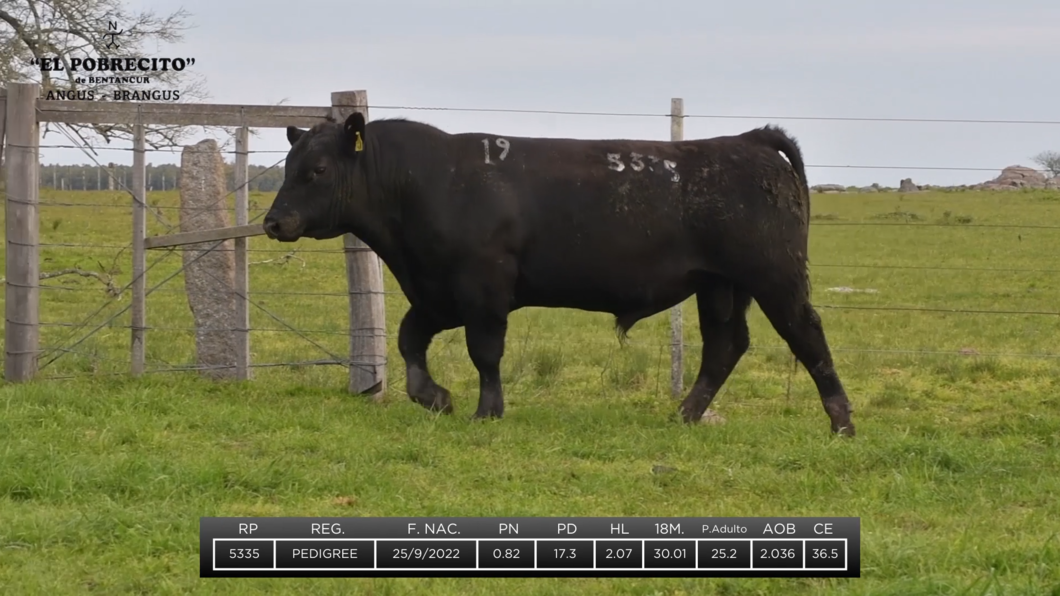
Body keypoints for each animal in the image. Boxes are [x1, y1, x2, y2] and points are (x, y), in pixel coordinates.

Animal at [262, 113, 852, 434]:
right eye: (289, 167)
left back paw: (841, 421)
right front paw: (436, 398)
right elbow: (409, 340)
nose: (273, 221)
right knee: (725, 346)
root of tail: (747, 141)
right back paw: (685, 415)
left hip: (774, 275)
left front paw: (486, 411)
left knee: (808, 334)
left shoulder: (484, 288)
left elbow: (485, 352)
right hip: (719, 285)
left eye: (317, 170)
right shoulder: (436, 292)